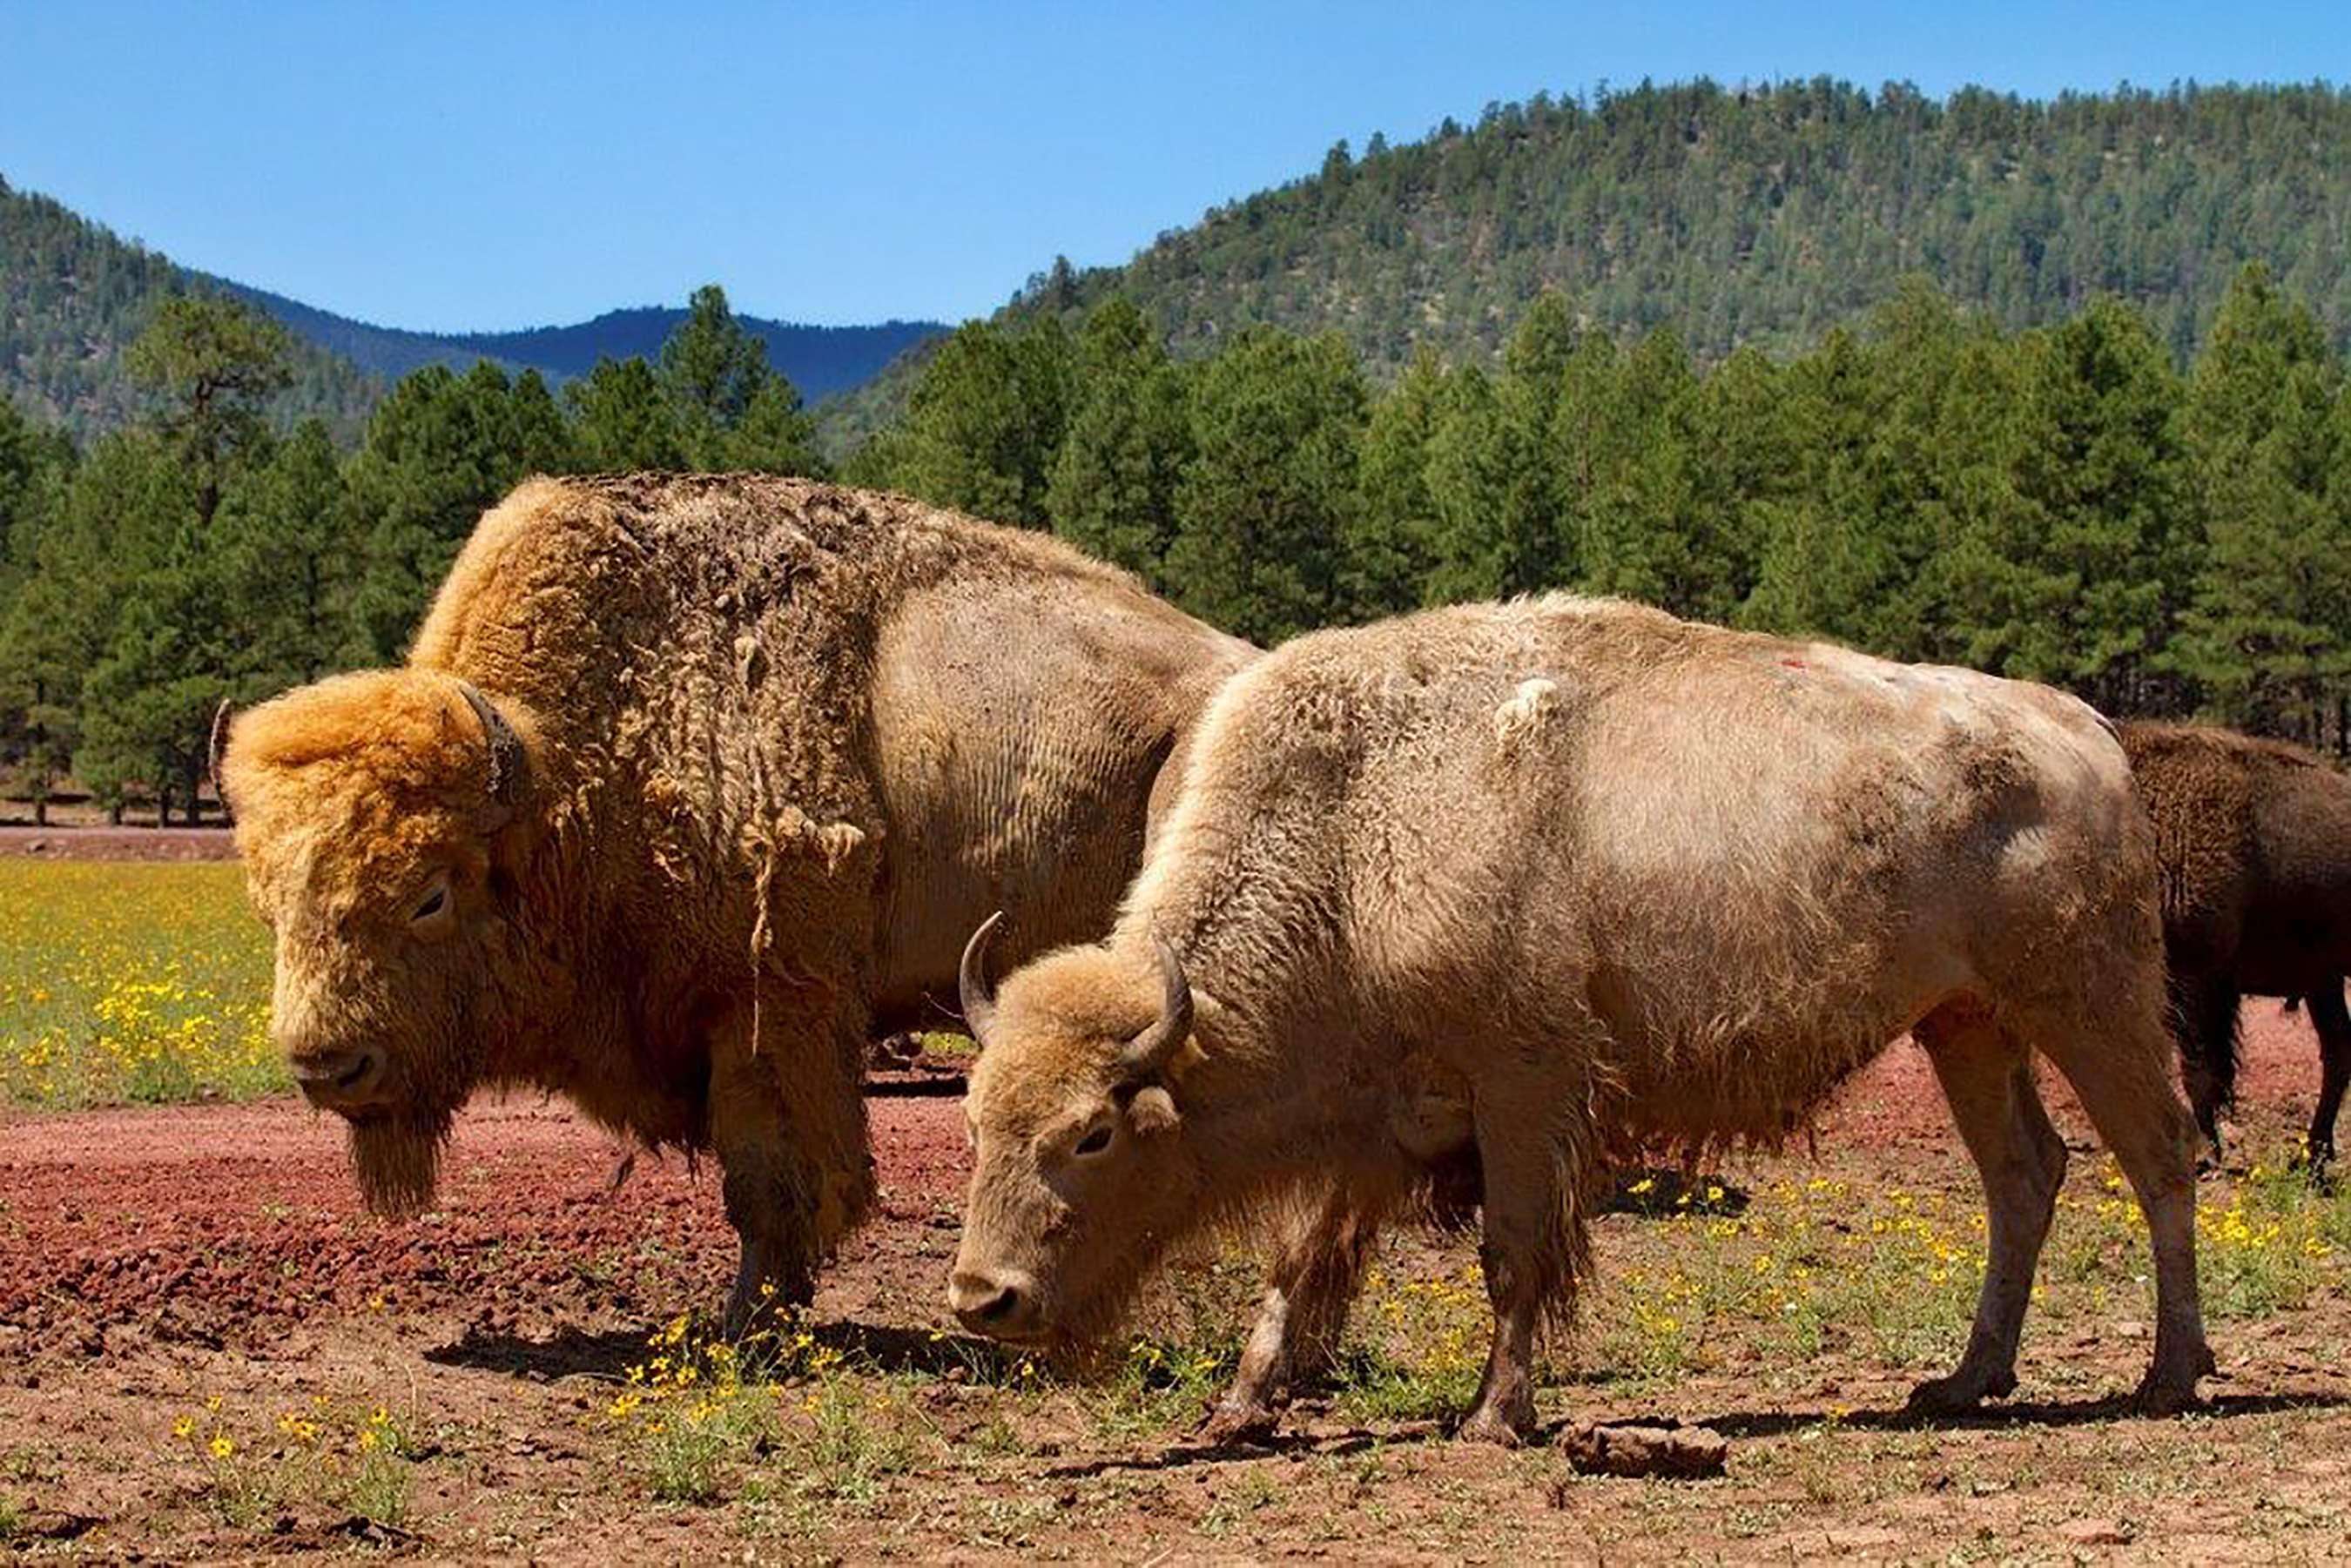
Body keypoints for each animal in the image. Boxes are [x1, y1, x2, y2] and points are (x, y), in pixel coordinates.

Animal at [945, 595, 2210, 1438]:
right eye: (974, 1124)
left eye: (1093, 1134)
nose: (982, 1298)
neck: (1353, 832)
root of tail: (2085, 728)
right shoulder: (1372, 1114)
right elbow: (1300, 1261)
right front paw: (1239, 1407)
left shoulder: (1526, 1084)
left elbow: (1512, 1257)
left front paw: (1493, 1417)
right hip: (1966, 1022)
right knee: (2024, 1173)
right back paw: (1965, 1380)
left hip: (2092, 1001)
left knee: (2157, 1156)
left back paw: (2171, 1373)